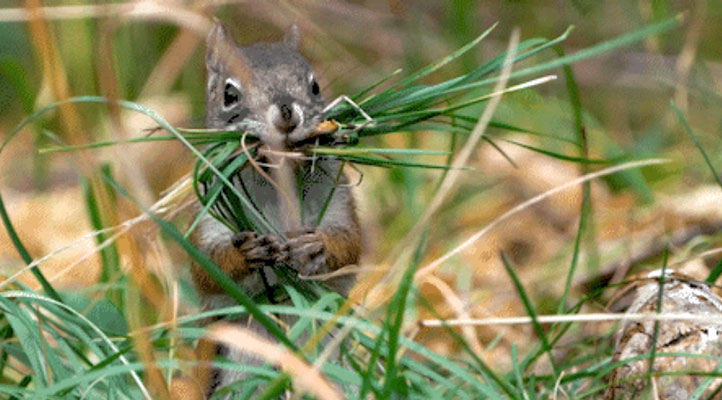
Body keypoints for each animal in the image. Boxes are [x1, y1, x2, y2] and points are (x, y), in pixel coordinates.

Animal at [182, 23, 361, 398]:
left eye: (315, 85)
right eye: (229, 94)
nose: (287, 113)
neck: (276, 178)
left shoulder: (338, 197)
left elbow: (350, 246)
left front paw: (314, 246)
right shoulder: (209, 210)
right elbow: (206, 267)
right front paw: (247, 251)